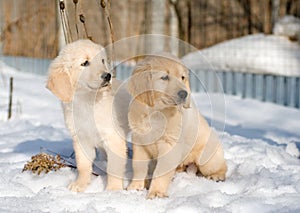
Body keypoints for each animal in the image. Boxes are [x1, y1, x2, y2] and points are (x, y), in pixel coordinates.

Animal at [47, 39, 129, 192]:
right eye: (85, 63)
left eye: (102, 60)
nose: (107, 76)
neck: (88, 100)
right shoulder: (81, 138)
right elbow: (83, 165)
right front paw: (80, 184)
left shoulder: (113, 137)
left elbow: (114, 167)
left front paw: (113, 190)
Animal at [126, 54, 227, 199]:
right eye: (164, 77)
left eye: (182, 77)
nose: (184, 94)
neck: (156, 113)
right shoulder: (140, 142)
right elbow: (138, 166)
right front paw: (135, 187)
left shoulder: (170, 144)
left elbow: (161, 171)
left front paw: (156, 193)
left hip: (207, 158)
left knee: (222, 166)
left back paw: (217, 176)